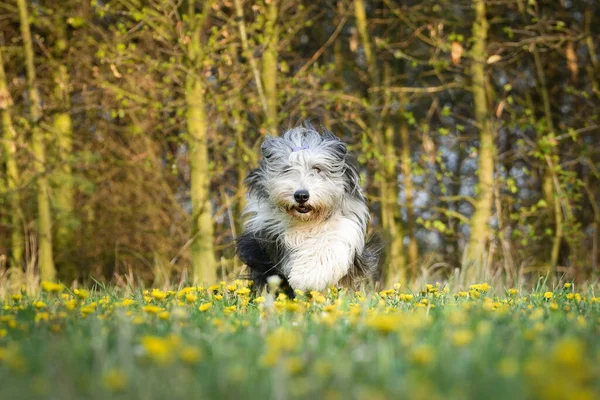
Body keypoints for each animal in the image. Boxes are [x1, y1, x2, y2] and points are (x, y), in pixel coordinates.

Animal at [236, 123, 380, 296]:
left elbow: (329, 242)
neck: (308, 220)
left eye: (317, 168)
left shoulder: (345, 224)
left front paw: (309, 276)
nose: (301, 196)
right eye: (287, 169)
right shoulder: (269, 232)